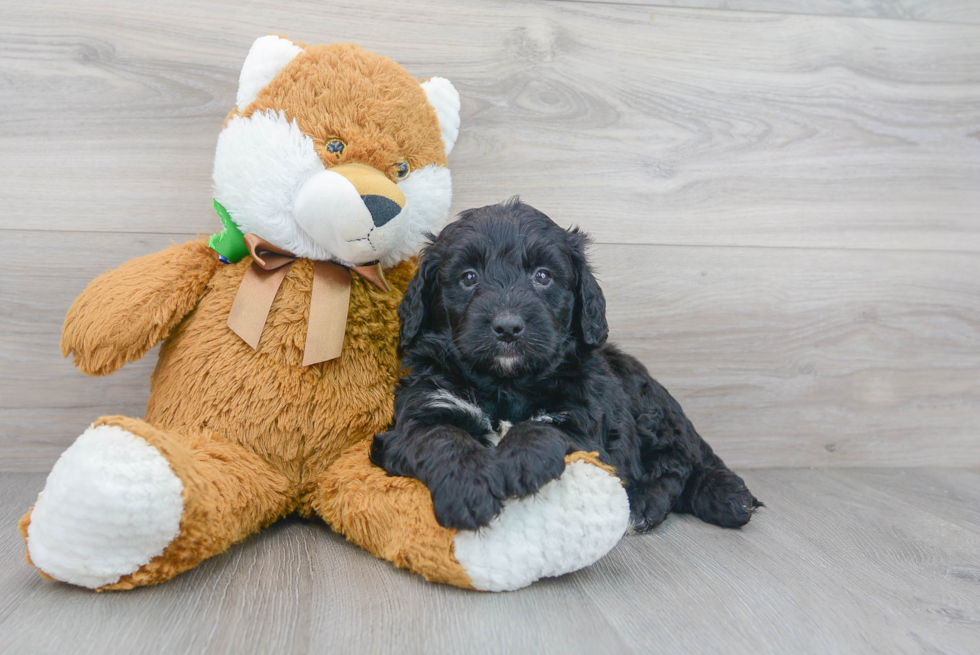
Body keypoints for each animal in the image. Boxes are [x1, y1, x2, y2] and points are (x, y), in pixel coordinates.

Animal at [372, 199, 760, 532]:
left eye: (543, 276)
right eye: (468, 277)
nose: (508, 327)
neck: (504, 383)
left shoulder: (586, 423)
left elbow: (544, 428)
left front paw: (518, 461)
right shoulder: (418, 413)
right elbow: (441, 437)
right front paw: (468, 488)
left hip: (649, 407)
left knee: (679, 465)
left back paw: (655, 502)